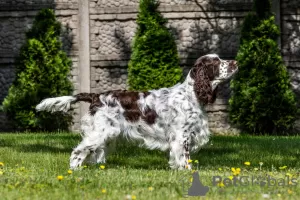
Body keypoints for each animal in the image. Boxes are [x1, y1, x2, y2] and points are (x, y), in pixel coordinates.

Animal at [35, 54, 237, 170]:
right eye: (216, 62)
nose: (235, 62)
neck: (191, 94)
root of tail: (96, 96)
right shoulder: (182, 137)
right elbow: (185, 160)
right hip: (101, 132)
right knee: (78, 151)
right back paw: (75, 171)